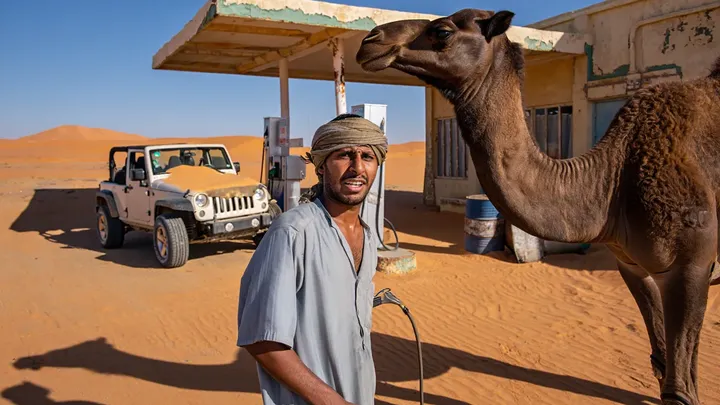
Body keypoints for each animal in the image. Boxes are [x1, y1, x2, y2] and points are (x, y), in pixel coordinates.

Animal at [356, 8, 720, 405]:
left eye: (442, 31)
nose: (370, 40)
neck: (612, 181)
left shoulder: (691, 263)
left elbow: (679, 386)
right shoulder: (631, 264)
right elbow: (665, 360)